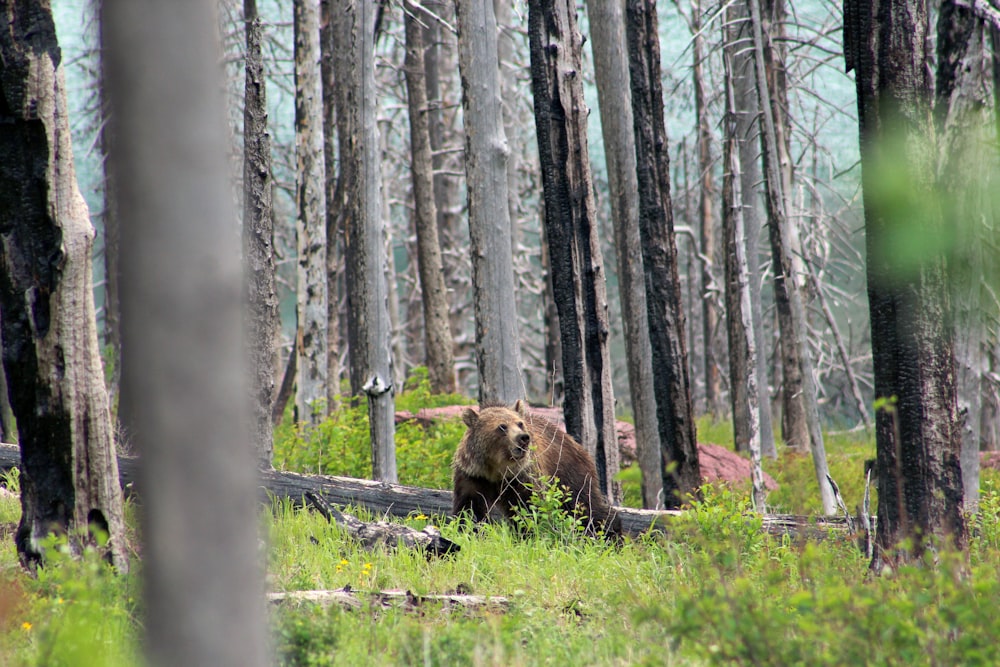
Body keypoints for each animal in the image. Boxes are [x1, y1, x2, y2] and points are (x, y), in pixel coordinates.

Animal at [452, 402, 620, 536]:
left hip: (569, 472)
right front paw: (467, 530)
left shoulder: (522, 477)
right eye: (502, 426)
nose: (523, 438)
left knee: (585, 505)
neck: (496, 470)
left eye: (520, 423)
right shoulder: (473, 476)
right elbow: (470, 509)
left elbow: (529, 508)